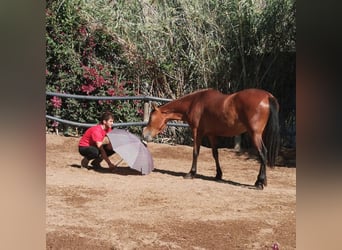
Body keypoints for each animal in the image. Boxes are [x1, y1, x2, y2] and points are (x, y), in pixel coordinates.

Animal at [143, 89, 280, 188]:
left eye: (151, 118)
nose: (144, 134)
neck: (195, 102)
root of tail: (268, 96)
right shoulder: (211, 134)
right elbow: (215, 154)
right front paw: (219, 175)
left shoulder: (197, 132)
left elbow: (195, 152)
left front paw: (191, 173)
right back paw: (262, 181)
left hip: (254, 134)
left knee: (263, 153)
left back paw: (259, 182)